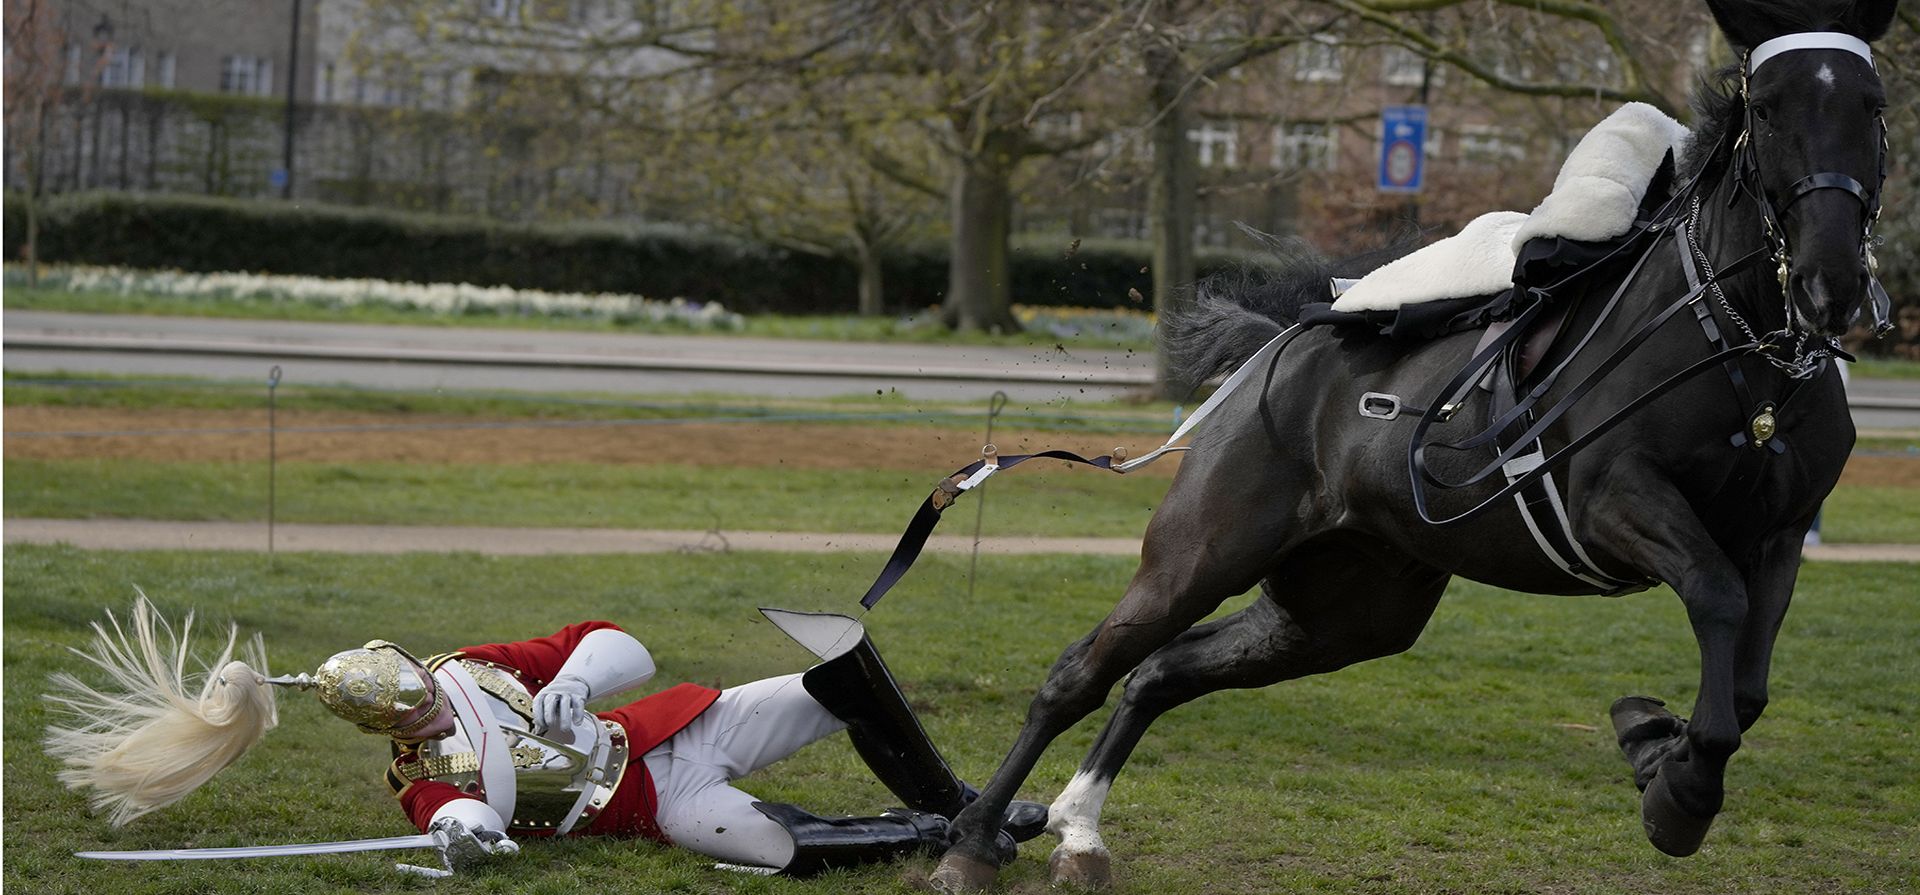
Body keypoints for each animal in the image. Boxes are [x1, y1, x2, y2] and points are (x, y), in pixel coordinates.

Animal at [929, 1, 1898, 889]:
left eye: (1874, 104)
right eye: (1767, 107)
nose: (1831, 280)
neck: (1741, 348)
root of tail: (1275, 348)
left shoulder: (1779, 536)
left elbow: (1745, 684)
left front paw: (1659, 748)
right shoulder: (1618, 502)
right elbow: (1716, 599)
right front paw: (1677, 790)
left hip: (1344, 609)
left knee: (1162, 672)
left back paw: (1080, 831)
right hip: (1202, 553)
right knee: (1083, 671)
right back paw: (974, 839)